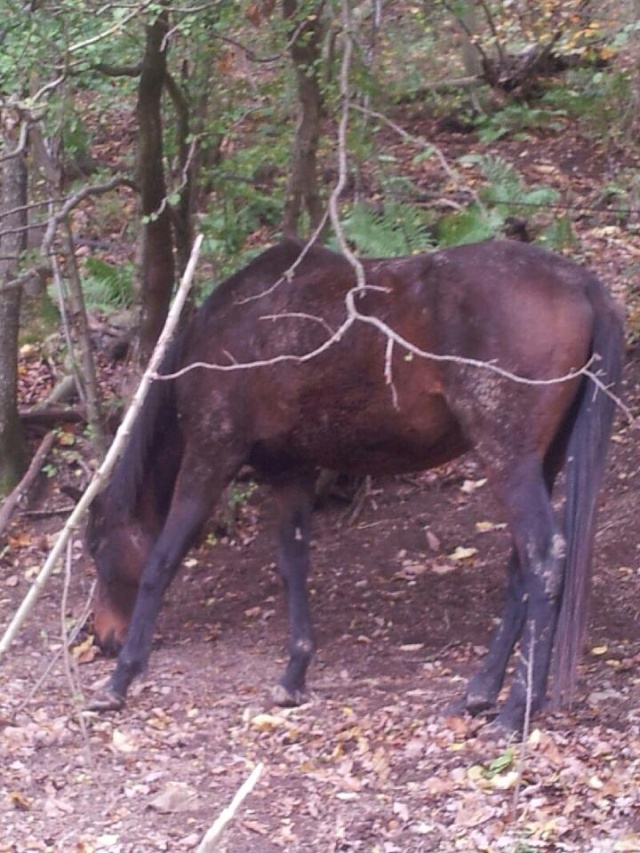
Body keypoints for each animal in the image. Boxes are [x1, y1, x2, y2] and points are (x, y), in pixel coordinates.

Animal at [86, 236, 624, 728]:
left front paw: (120, 680)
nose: (103, 637)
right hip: (541, 461)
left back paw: (514, 712)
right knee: (522, 569)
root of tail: (580, 283)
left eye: (97, 548)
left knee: (543, 556)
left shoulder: (210, 456)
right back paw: (481, 692)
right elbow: (293, 565)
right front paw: (294, 674)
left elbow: (160, 563)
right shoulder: (291, 472)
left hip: (508, 457)